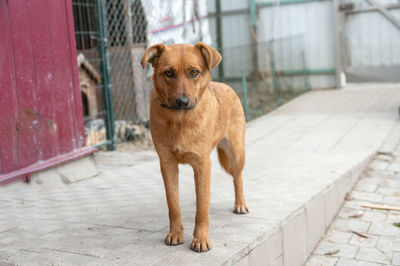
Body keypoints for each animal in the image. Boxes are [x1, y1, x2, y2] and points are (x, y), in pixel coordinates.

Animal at [141, 42, 247, 252]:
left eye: (193, 72)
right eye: (169, 73)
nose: (182, 102)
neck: (180, 120)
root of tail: (225, 85)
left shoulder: (202, 165)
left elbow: (202, 209)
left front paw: (200, 238)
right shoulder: (167, 164)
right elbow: (173, 204)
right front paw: (175, 234)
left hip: (236, 152)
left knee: (237, 178)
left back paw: (240, 204)